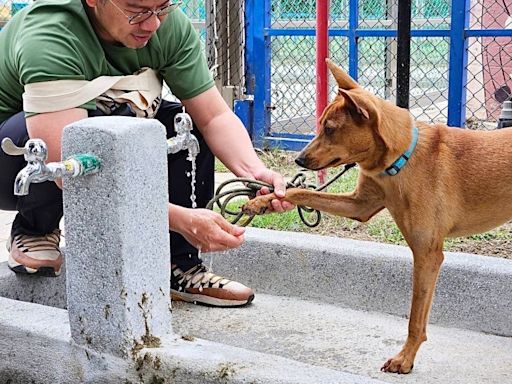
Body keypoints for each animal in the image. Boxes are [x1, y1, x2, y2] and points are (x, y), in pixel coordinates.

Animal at [242, 59, 512, 372]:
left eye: (329, 129)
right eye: (320, 125)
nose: (298, 159)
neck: (399, 161)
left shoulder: (427, 254)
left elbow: (415, 319)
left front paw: (404, 359)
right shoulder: (359, 206)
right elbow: (300, 193)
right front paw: (264, 202)